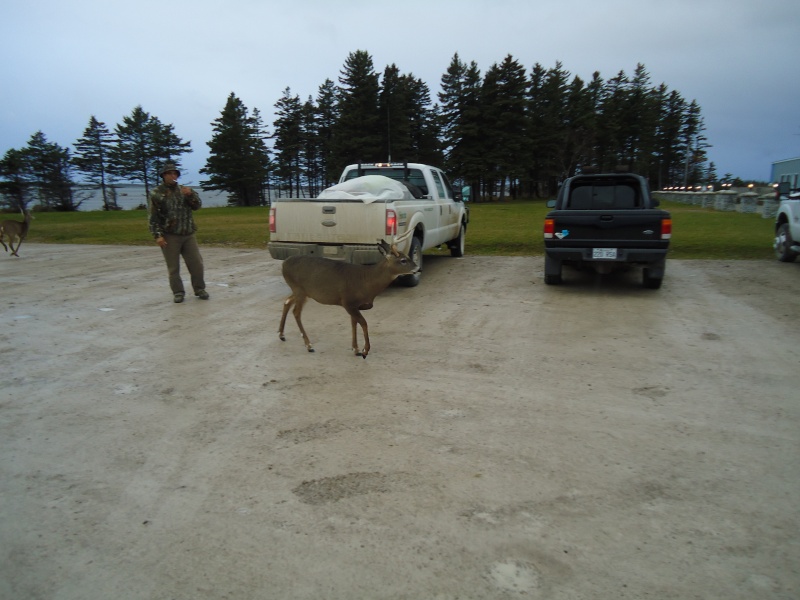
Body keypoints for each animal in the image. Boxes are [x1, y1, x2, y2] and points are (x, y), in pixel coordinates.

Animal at [280, 233, 418, 356]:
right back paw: (309, 345)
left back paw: (281, 335)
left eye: (407, 256)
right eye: (403, 260)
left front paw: (355, 349)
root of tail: (284, 263)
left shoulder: (355, 305)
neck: (367, 282)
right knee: (296, 312)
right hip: (299, 290)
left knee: (287, 302)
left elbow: (354, 323)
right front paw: (364, 350)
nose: (418, 268)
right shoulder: (347, 302)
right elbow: (363, 323)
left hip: (301, 291)